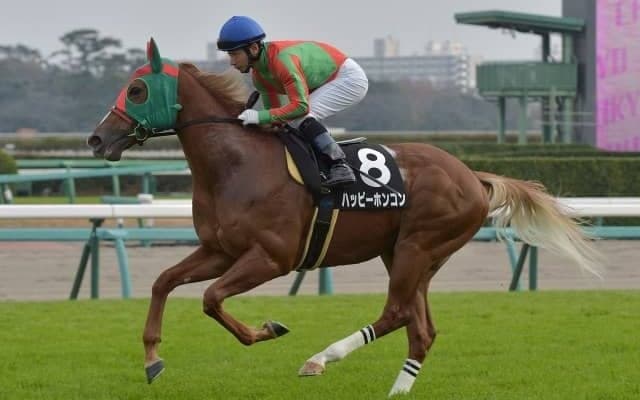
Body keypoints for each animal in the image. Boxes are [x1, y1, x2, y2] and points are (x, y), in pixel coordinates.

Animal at [87, 39, 601, 397]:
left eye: (137, 90)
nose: (96, 139)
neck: (236, 164)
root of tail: (472, 175)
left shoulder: (270, 257)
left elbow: (212, 299)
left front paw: (267, 330)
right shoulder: (219, 250)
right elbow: (164, 283)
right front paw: (152, 359)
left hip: (419, 246)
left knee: (397, 313)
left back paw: (320, 359)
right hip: (407, 254)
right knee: (421, 329)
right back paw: (397, 390)